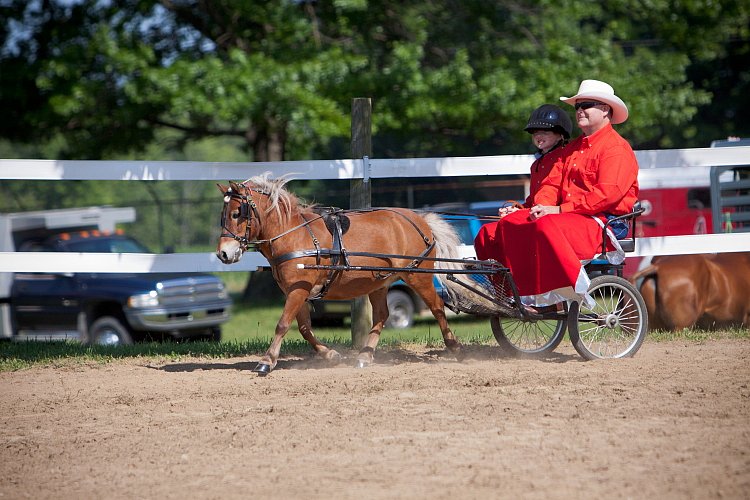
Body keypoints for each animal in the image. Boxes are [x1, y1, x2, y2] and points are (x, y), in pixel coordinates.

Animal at [214, 174, 468, 374]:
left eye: (237, 213)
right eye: (223, 215)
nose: (223, 253)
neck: (293, 235)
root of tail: (420, 220)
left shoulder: (299, 289)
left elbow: (283, 324)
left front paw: (266, 361)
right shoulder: (297, 292)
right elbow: (304, 328)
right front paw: (330, 355)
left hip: (418, 276)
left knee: (437, 307)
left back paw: (455, 347)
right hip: (379, 282)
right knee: (382, 315)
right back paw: (365, 355)